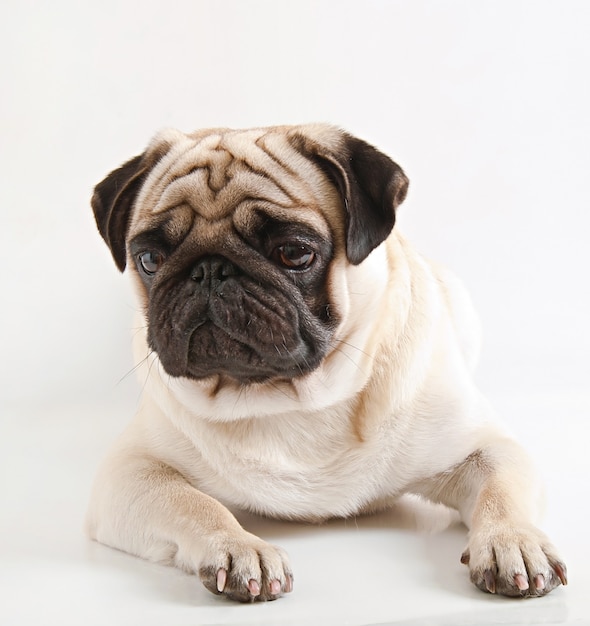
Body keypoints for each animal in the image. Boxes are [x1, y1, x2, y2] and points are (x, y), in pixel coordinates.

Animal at [88, 123, 568, 600]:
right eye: (150, 260)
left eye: (294, 253)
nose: (209, 270)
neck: (287, 399)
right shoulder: (128, 474)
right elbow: (195, 503)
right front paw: (239, 547)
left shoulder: (488, 448)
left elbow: (500, 493)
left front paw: (513, 542)